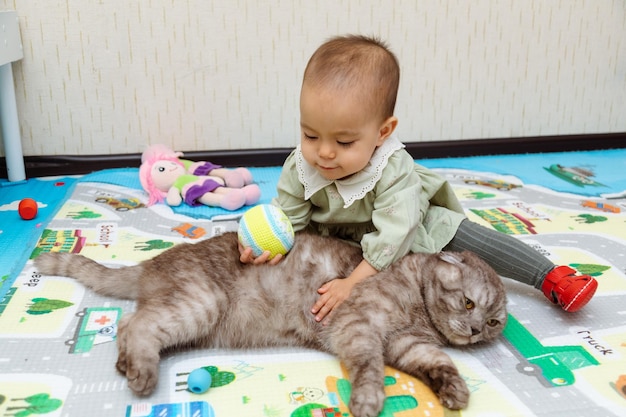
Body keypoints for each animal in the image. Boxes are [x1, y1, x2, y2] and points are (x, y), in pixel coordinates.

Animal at [34, 231, 504, 416]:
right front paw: (369, 400)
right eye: (468, 303)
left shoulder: (407, 344)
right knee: (137, 325)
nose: (476, 329)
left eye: (494, 320)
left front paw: (456, 389)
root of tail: (152, 263)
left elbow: (439, 363)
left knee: (130, 321)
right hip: (198, 305)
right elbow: (370, 368)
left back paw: (125, 364)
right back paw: (141, 372)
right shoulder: (360, 327)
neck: (419, 312)